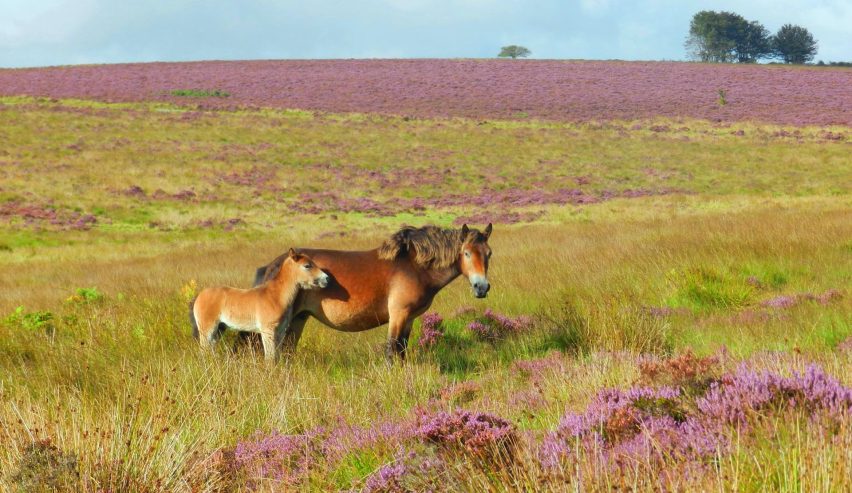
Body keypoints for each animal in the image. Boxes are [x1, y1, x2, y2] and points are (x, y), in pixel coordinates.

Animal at [190, 248, 329, 362]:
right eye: (307, 266)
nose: (326, 279)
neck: (275, 296)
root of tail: (199, 296)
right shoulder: (268, 331)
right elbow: (270, 357)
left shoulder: (280, 331)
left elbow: (277, 356)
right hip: (207, 328)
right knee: (204, 350)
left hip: (219, 328)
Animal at [251, 223, 493, 361]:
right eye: (466, 253)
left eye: (488, 253)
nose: (481, 287)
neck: (414, 267)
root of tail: (273, 265)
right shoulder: (398, 315)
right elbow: (391, 351)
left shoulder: (409, 319)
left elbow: (402, 351)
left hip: (298, 319)